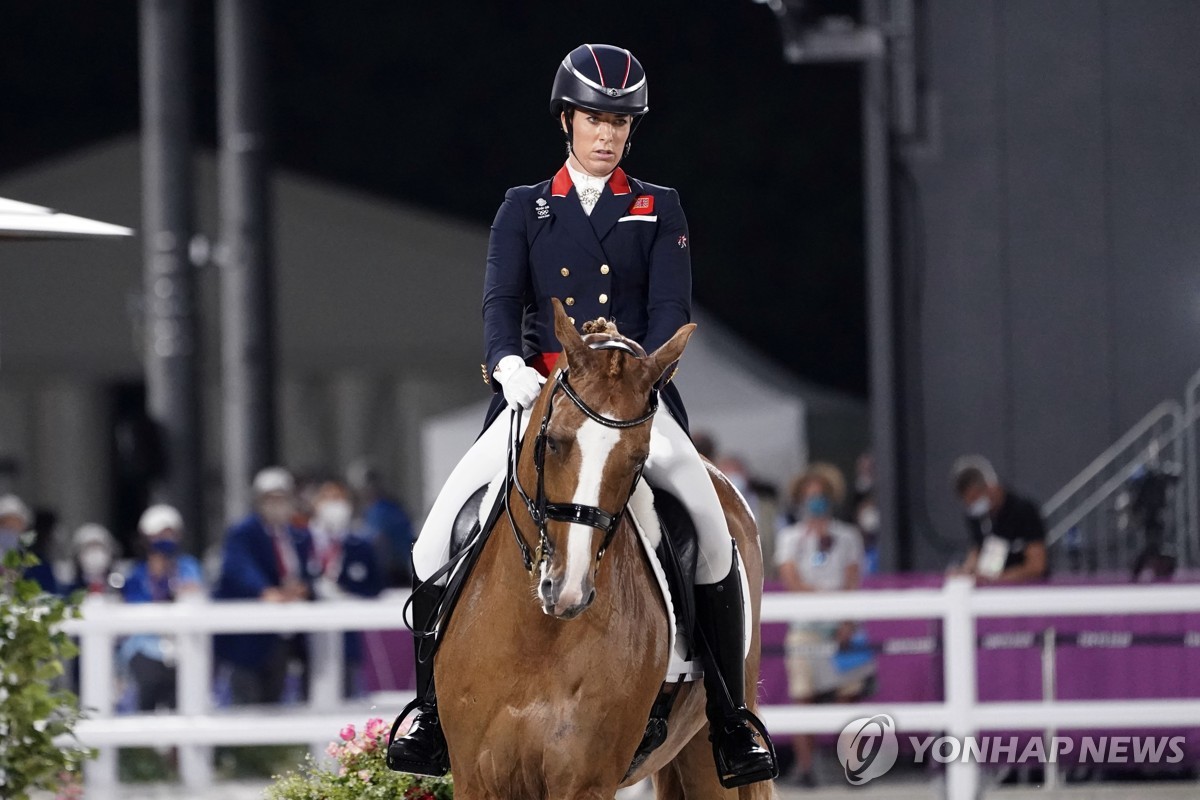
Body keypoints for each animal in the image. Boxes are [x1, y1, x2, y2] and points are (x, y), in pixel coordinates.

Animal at [436, 299, 772, 800]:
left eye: (638, 458)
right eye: (553, 442)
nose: (567, 590)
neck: (537, 638)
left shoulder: (585, 781)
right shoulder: (477, 779)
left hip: (707, 750)